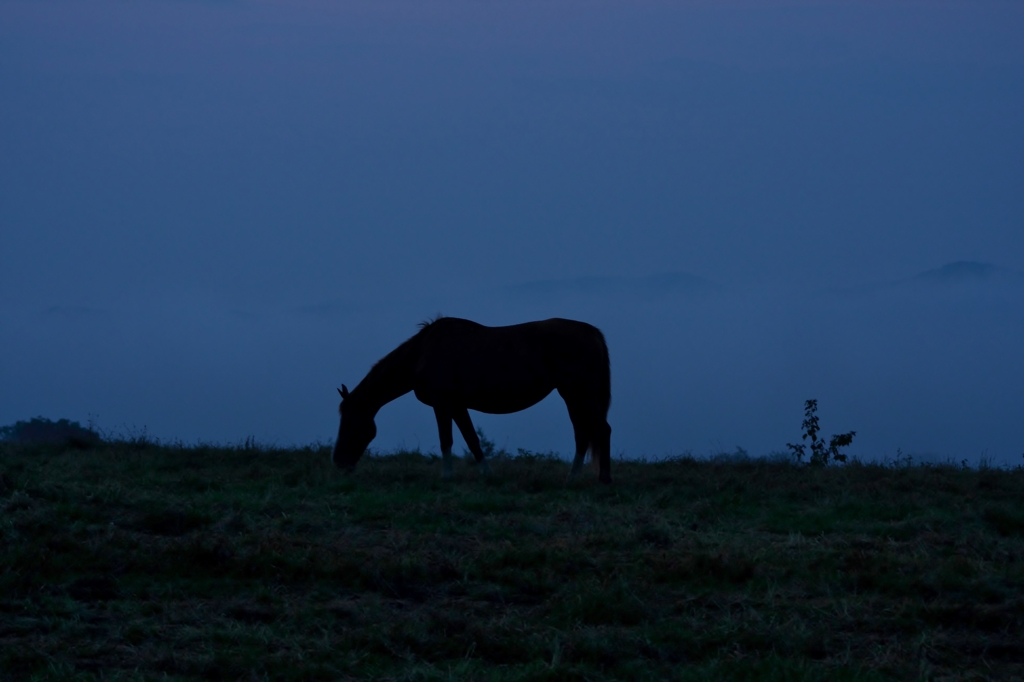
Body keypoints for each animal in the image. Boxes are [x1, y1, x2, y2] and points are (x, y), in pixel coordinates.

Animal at [331, 315, 610, 481]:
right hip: (574, 396)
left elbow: (447, 440)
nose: (339, 464)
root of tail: (591, 331)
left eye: (349, 422)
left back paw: (600, 479)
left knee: (598, 430)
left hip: (578, 394)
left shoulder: (442, 404)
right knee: (584, 433)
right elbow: (472, 439)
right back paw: (574, 478)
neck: (422, 353)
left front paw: (446, 477)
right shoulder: (457, 406)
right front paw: (488, 474)